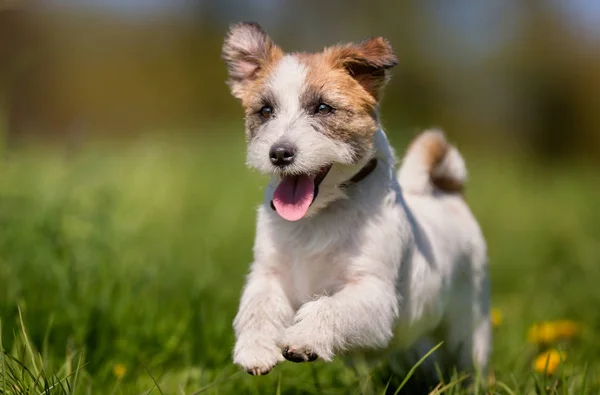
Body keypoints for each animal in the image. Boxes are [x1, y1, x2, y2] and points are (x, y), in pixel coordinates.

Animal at [223, 20, 490, 384]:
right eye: (266, 110)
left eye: (323, 108)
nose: (279, 153)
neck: (320, 216)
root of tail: (444, 194)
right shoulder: (269, 274)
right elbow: (257, 308)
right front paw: (255, 348)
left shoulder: (372, 294)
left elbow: (329, 307)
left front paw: (304, 338)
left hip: (470, 321)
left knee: (469, 354)